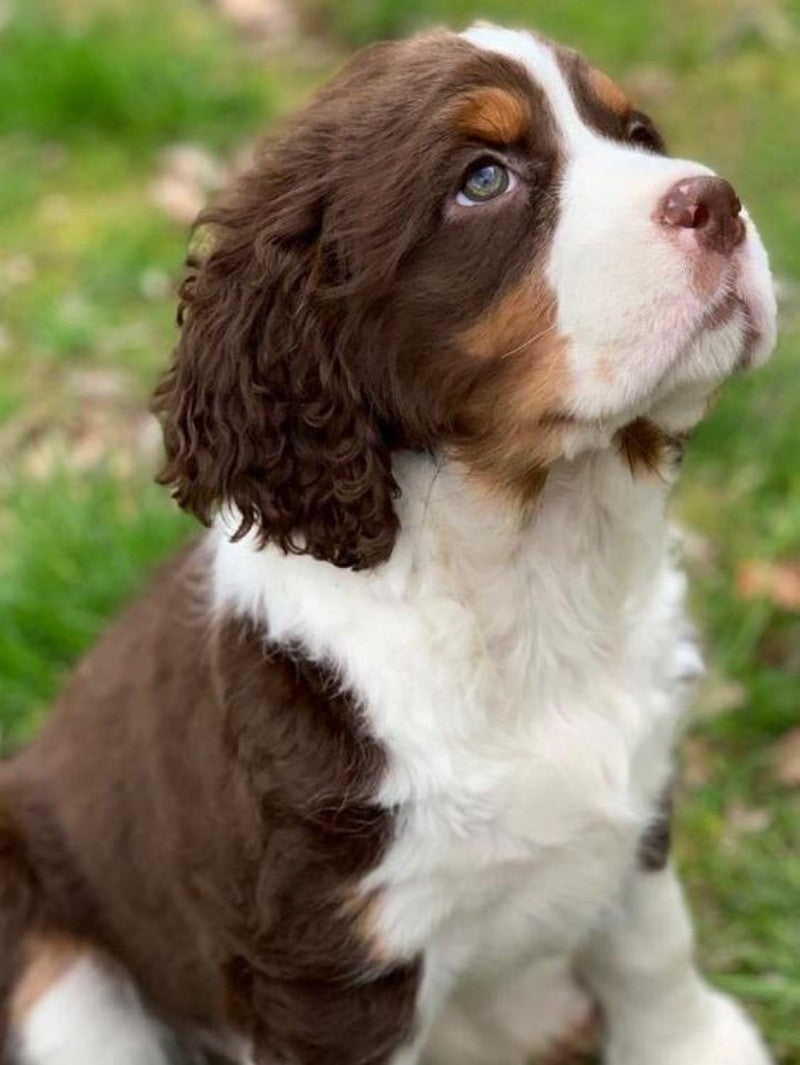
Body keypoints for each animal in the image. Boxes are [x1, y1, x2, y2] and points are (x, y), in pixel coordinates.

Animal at [0, 18, 775, 1065]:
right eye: (483, 179)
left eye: (640, 134)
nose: (718, 201)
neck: (536, 566)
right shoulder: (331, 955)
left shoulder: (640, 793)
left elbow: (652, 939)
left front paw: (693, 1041)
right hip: (54, 961)